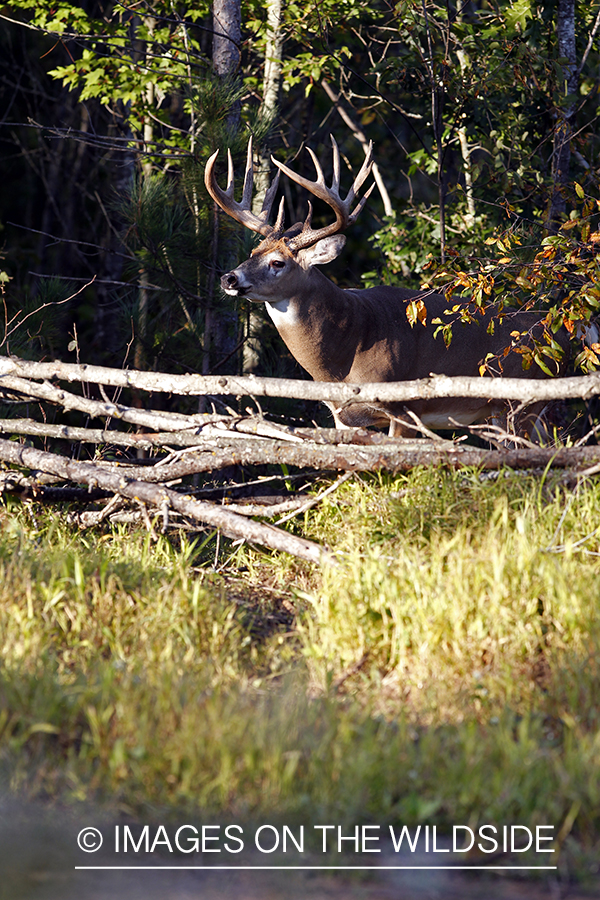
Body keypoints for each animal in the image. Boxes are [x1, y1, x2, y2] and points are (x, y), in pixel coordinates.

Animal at [204, 136, 576, 440]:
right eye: (253, 252)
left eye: (278, 263)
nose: (228, 278)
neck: (343, 355)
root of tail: (562, 335)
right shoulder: (341, 416)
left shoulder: (406, 408)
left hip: (518, 403)